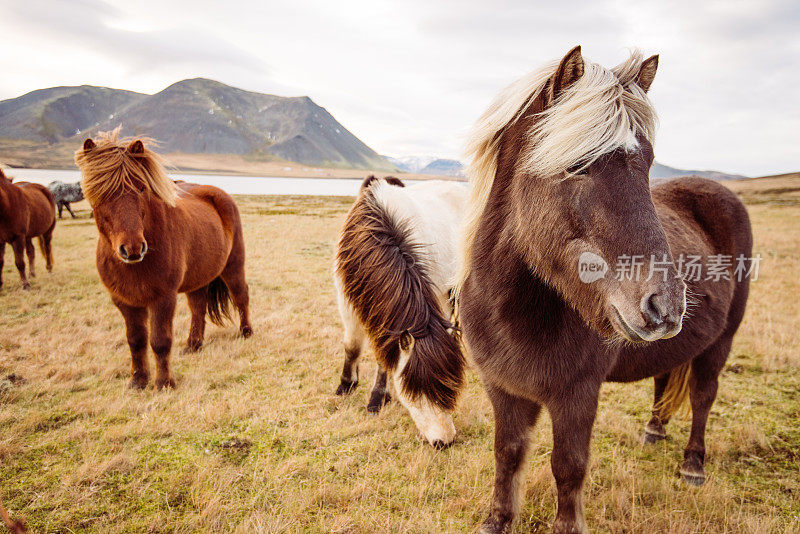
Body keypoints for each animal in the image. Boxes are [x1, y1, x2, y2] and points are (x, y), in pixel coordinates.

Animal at [74, 130, 252, 390]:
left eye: (140, 188)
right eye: (100, 193)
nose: (132, 249)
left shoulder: (163, 298)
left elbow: (160, 340)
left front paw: (164, 383)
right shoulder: (124, 301)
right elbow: (136, 340)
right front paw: (138, 380)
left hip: (233, 266)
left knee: (241, 295)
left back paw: (246, 332)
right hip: (198, 278)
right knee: (198, 307)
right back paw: (193, 345)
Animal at [332, 176, 468, 448]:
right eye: (415, 390)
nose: (445, 441)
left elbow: (384, 358)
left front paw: (376, 399)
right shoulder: (346, 302)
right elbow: (352, 346)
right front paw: (345, 386)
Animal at [460, 47, 752, 534]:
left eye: (649, 165)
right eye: (577, 164)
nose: (665, 306)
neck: (513, 312)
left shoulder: (577, 394)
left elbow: (568, 467)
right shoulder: (503, 387)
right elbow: (507, 454)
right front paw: (497, 520)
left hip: (722, 341)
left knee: (703, 396)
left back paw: (693, 465)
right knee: (664, 379)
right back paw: (654, 432)